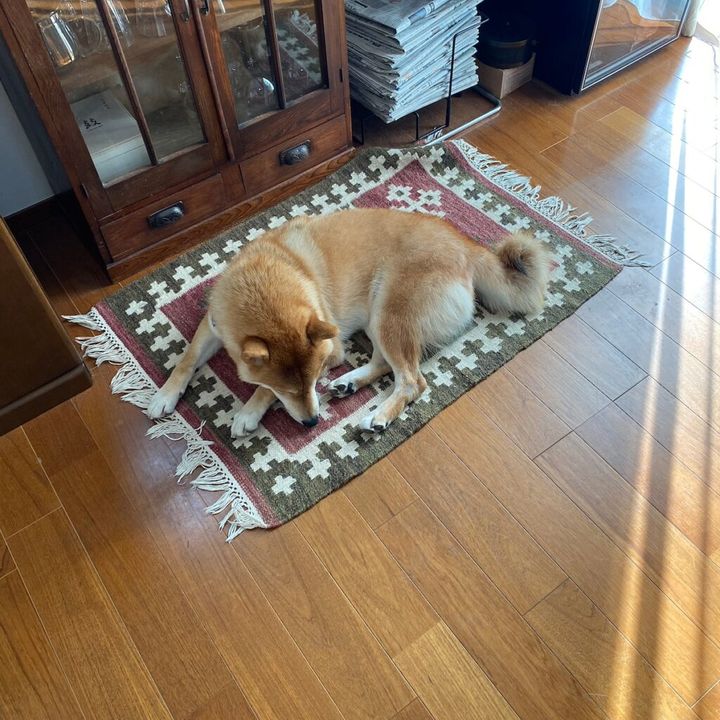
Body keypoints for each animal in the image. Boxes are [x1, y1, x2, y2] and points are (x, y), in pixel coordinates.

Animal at [147, 208, 549, 435]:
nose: (312, 423)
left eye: (309, 383)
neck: (264, 281)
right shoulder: (213, 325)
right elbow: (186, 360)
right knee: (386, 364)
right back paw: (349, 384)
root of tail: (467, 246)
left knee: (412, 381)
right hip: (378, 317)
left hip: (389, 311)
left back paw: (378, 416)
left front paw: (249, 411)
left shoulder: (332, 349)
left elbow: (261, 389)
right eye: (292, 390)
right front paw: (165, 395)